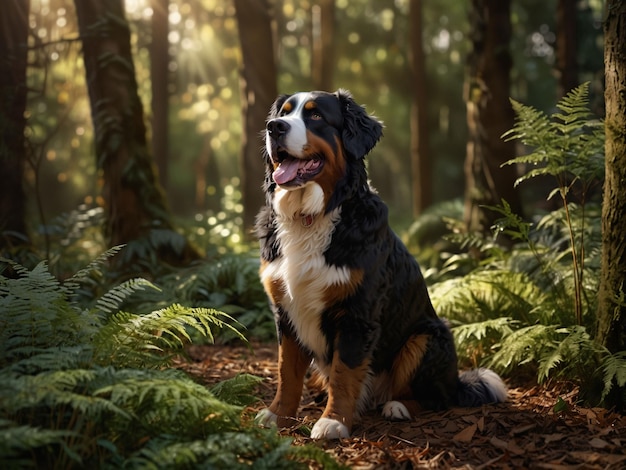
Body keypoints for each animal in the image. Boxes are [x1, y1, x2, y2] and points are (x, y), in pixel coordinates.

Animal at [251, 90, 504, 438]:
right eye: (284, 113)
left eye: (315, 116)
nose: (274, 127)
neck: (311, 217)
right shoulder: (285, 312)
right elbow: (286, 371)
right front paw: (278, 415)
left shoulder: (357, 314)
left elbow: (344, 373)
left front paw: (333, 422)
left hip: (426, 337)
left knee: (434, 399)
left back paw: (397, 406)